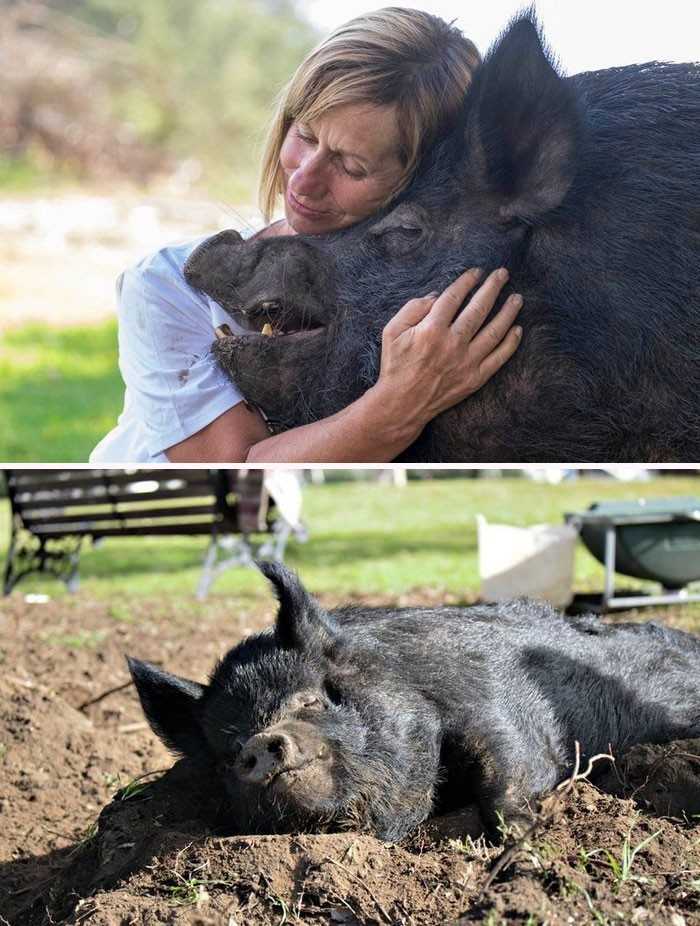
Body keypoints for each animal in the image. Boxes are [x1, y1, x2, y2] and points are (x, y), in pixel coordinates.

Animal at [127, 560, 700, 844]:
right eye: (227, 752)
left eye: (311, 700)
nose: (261, 744)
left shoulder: (499, 709)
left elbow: (505, 770)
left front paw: (526, 837)